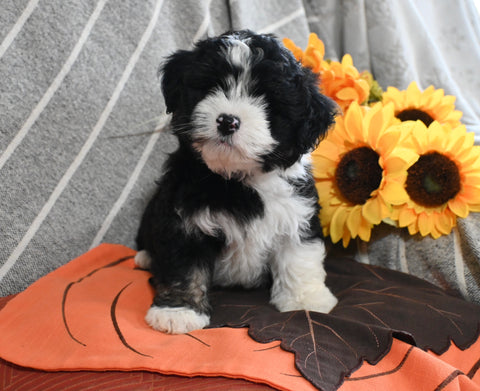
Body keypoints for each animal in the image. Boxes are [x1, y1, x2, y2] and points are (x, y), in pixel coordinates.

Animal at [135, 29, 338, 334]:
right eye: (211, 86)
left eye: (268, 101)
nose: (227, 121)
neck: (237, 178)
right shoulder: (183, 219)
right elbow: (184, 265)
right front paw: (179, 311)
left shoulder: (297, 212)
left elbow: (299, 256)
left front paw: (305, 299)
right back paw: (146, 256)